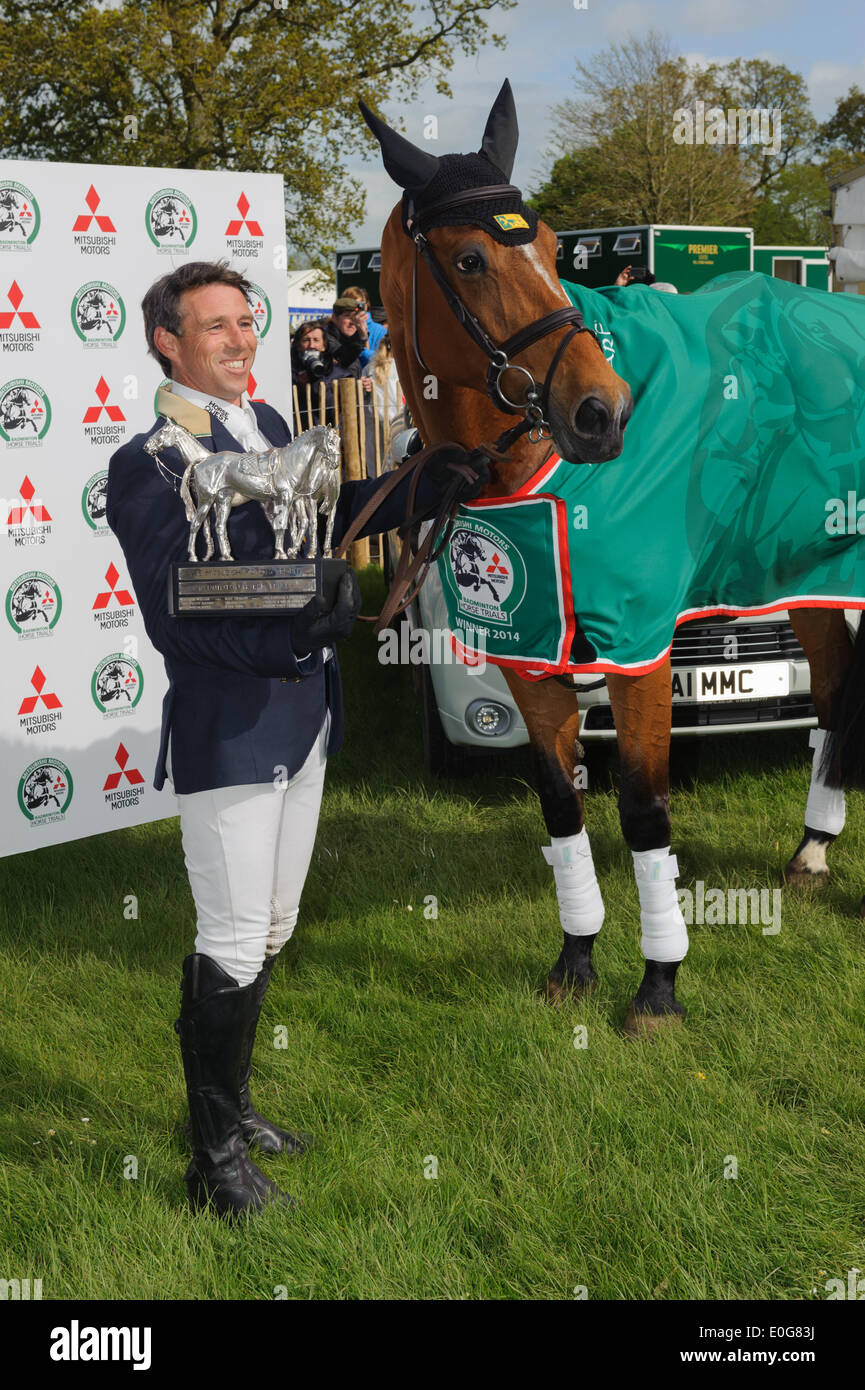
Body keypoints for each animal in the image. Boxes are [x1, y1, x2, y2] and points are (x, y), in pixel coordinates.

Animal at [358, 78, 856, 1034]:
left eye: (555, 247)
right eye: (469, 259)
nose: (602, 411)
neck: (526, 468)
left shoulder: (638, 644)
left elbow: (643, 809)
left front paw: (658, 985)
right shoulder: (524, 652)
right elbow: (561, 802)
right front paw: (575, 960)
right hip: (806, 576)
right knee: (836, 694)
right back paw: (813, 851)